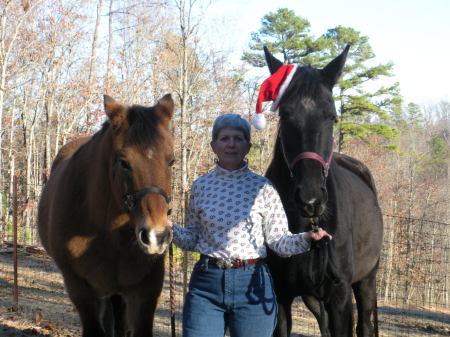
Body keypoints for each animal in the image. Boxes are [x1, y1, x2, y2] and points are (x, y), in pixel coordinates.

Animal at [264, 45, 384, 336]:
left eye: (332, 116)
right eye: (285, 115)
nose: (310, 199)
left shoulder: (339, 296)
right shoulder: (281, 296)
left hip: (366, 282)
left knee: (364, 324)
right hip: (313, 298)